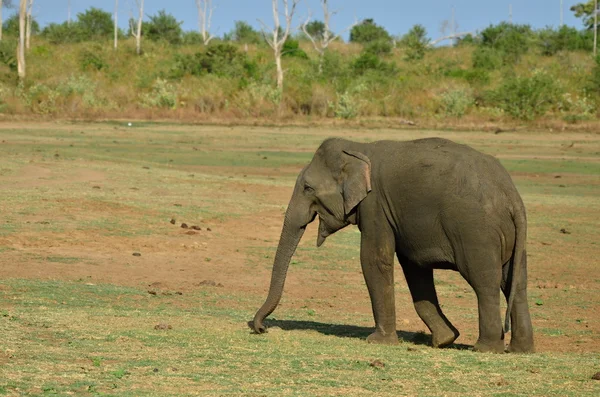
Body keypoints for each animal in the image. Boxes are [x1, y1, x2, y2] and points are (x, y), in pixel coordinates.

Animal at [248, 137, 536, 352]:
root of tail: (512, 197)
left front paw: (378, 341)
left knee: (484, 282)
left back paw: (486, 348)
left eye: (308, 188)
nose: (258, 327)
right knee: (516, 283)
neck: (359, 148)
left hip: (475, 231)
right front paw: (445, 339)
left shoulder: (375, 205)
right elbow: (414, 266)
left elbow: (374, 259)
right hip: (511, 239)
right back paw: (521, 350)